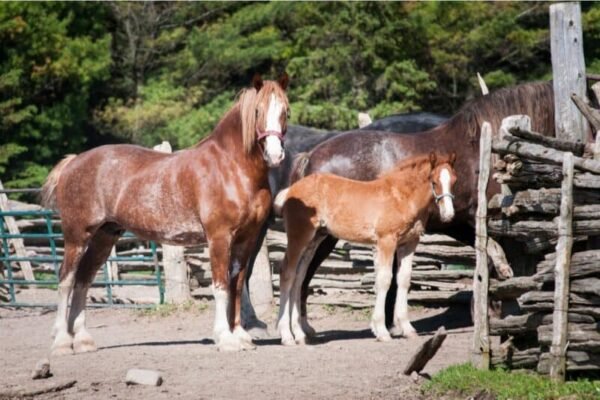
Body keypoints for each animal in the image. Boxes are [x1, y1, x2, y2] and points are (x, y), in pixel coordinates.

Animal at [41, 73, 290, 352]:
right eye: (258, 111)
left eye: (285, 111)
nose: (275, 154)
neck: (231, 167)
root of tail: (73, 161)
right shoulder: (219, 237)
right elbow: (221, 286)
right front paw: (225, 339)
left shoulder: (246, 238)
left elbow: (237, 284)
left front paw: (240, 336)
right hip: (77, 236)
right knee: (66, 279)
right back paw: (62, 342)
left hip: (104, 236)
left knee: (84, 279)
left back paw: (83, 340)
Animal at [274, 152, 458, 346]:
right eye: (434, 181)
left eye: (454, 180)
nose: (448, 215)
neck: (402, 197)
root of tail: (290, 190)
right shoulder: (386, 241)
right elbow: (385, 280)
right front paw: (382, 331)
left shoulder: (409, 243)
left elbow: (403, 280)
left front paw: (407, 329)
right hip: (299, 238)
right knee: (287, 273)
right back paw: (286, 335)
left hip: (314, 240)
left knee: (299, 277)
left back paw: (300, 334)